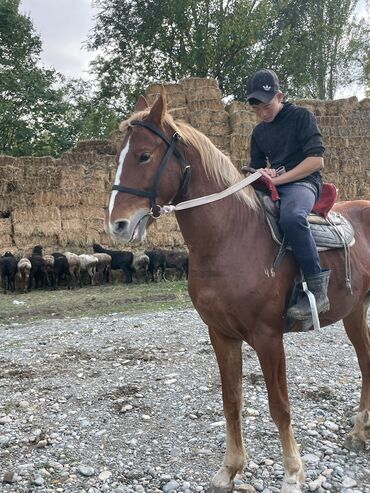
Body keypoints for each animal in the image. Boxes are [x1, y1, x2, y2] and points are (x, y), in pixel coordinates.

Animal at [104, 92, 370, 492]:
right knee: (366, 360)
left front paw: (293, 473)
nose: (117, 225)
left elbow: (280, 406)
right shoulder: (221, 334)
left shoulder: (268, 337)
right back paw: (359, 430)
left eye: (144, 156)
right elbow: (231, 401)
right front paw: (229, 468)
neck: (231, 237)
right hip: (354, 311)